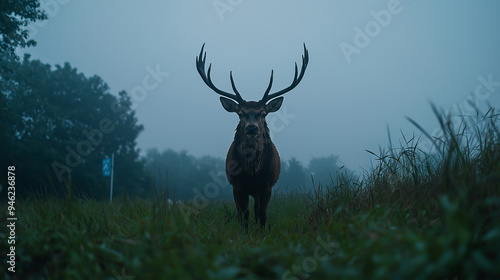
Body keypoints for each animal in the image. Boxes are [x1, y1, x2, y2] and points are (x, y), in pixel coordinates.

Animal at [196, 43, 308, 228]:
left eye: (263, 113)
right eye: (240, 113)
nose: (251, 128)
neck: (253, 172)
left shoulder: (267, 185)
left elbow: (262, 215)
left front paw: (261, 231)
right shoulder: (237, 185)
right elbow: (244, 215)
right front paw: (245, 232)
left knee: (257, 210)